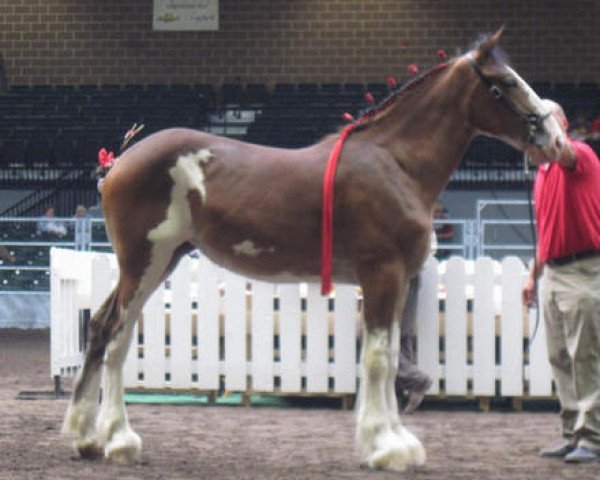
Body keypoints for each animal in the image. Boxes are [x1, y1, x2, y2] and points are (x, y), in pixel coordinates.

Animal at [63, 28, 564, 470]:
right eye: (506, 83)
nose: (554, 139)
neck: (395, 163)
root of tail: (120, 160)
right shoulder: (382, 274)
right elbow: (379, 357)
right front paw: (387, 447)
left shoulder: (396, 280)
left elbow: (388, 353)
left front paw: (392, 440)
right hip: (143, 263)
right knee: (115, 334)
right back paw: (119, 440)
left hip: (160, 262)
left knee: (105, 329)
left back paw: (86, 437)